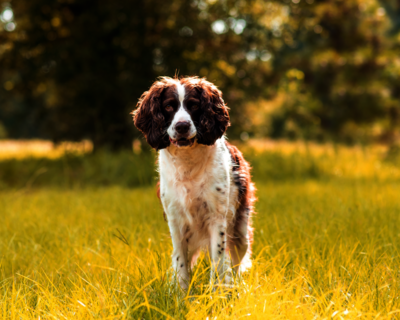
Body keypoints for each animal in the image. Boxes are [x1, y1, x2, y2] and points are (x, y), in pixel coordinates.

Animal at [132, 76, 256, 288]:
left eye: (194, 105)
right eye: (168, 106)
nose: (182, 126)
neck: (187, 162)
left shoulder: (216, 217)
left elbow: (218, 261)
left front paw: (216, 291)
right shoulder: (175, 219)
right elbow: (181, 261)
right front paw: (181, 292)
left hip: (240, 230)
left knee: (236, 262)